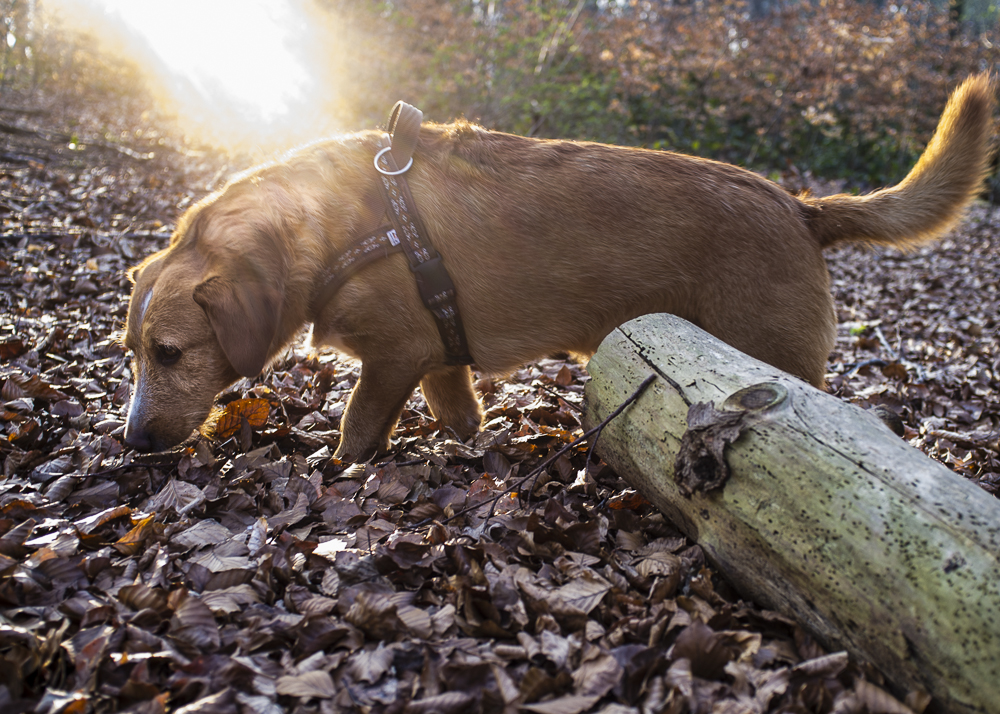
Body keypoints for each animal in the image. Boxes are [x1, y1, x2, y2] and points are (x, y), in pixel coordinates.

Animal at [121, 75, 996, 458]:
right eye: (130, 354)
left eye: (170, 353)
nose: (129, 443)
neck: (342, 225)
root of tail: (801, 207)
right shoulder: (439, 360)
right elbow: (460, 416)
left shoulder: (394, 357)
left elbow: (357, 429)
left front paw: (338, 471)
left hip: (775, 359)